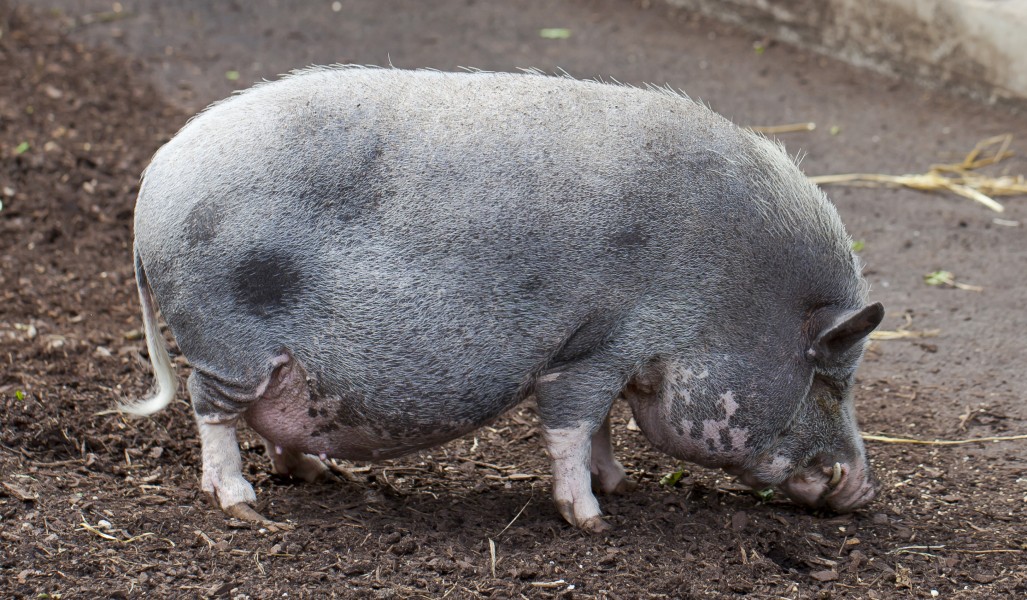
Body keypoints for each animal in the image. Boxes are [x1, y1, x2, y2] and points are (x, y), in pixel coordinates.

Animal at [125, 66, 884, 532]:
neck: (727, 290)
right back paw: (242, 505)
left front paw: (619, 487)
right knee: (210, 411)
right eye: (830, 378)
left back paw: (311, 472)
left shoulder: (606, 354)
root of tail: (153, 180)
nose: (863, 490)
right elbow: (572, 425)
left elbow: (600, 426)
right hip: (225, 338)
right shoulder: (600, 343)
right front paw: (594, 520)